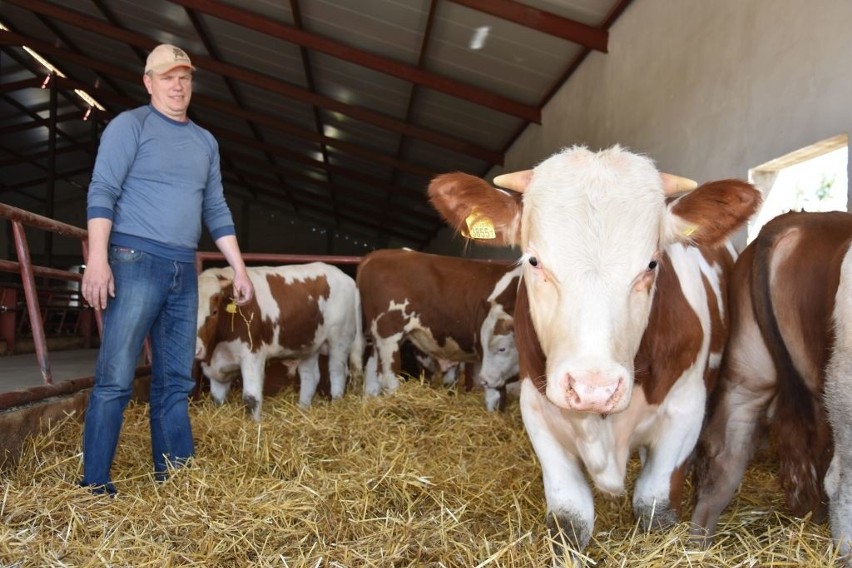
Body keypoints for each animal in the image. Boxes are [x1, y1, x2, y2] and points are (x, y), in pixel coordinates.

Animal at [195, 262, 362, 422]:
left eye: (214, 311)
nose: (196, 350)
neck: (217, 348)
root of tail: (344, 276)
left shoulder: (253, 354)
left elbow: (251, 398)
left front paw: (254, 425)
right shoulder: (217, 367)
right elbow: (217, 399)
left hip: (340, 339)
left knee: (337, 372)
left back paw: (336, 404)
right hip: (310, 344)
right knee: (310, 376)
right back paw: (302, 411)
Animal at [356, 246, 524, 410]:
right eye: (502, 348)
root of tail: (375, 255)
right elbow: (495, 394)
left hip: (379, 338)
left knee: (371, 372)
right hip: (389, 335)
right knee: (388, 377)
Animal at [426, 144, 760, 560]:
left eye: (652, 263)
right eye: (534, 260)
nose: (593, 389)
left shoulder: (685, 409)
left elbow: (654, 507)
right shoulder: (537, 410)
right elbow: (569, 518)